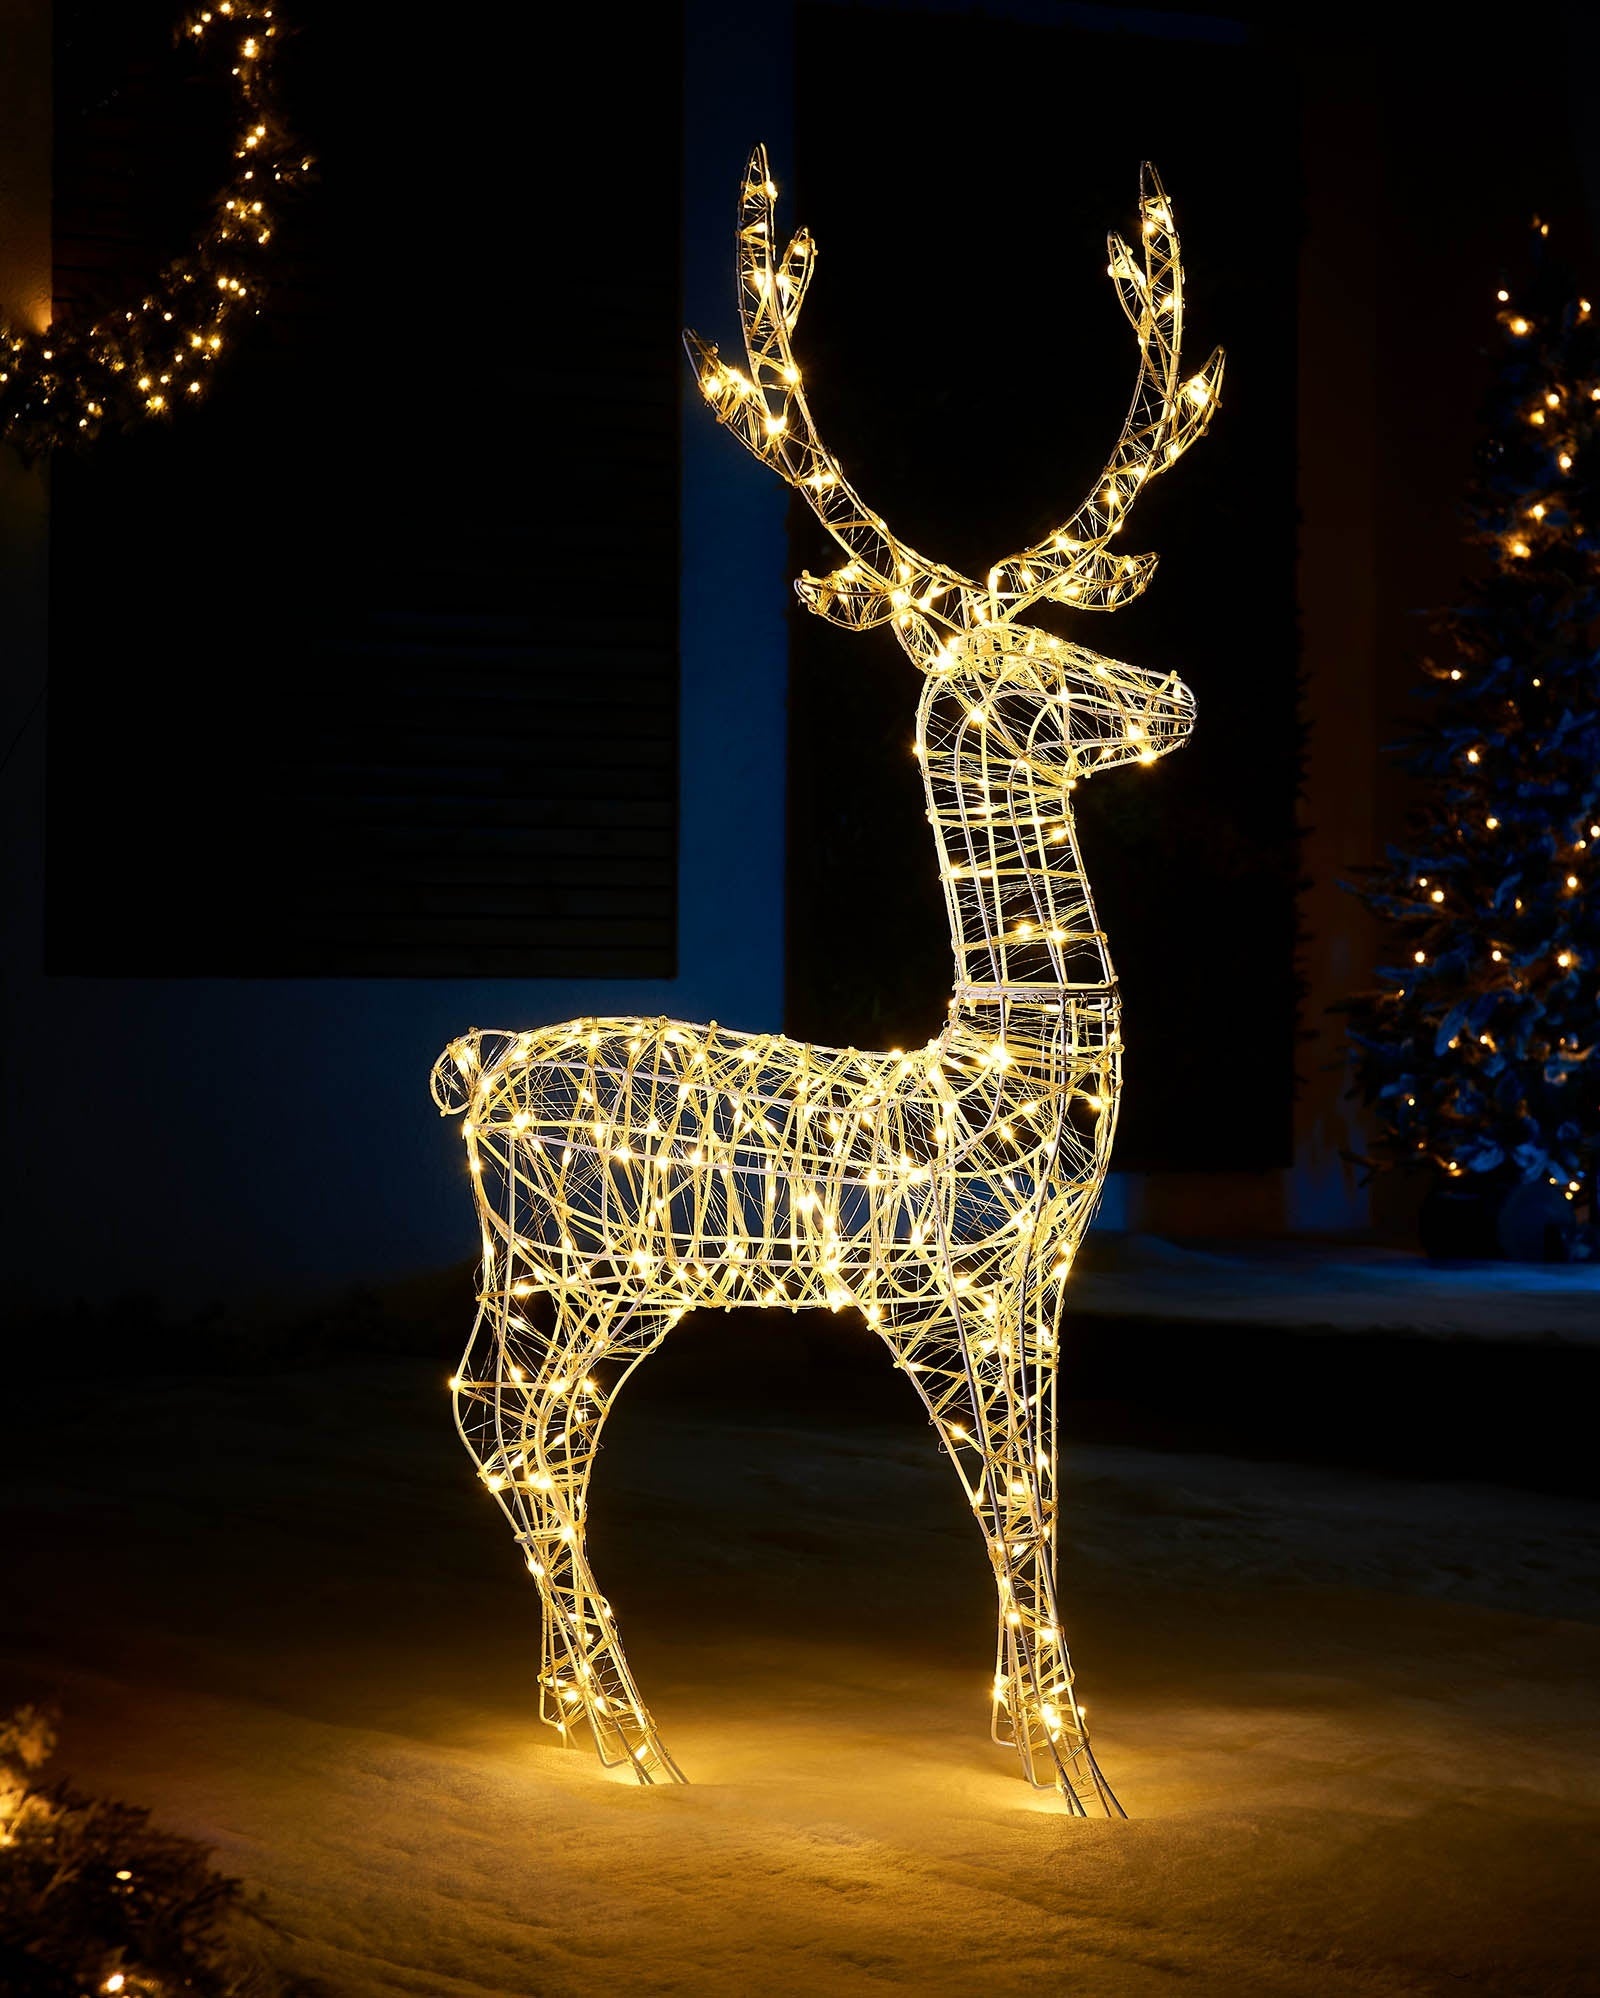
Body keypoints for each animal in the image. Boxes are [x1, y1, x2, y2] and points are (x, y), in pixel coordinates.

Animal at [430, 147, 1221, 1815]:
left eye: (1070, 625)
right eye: (1023, 664)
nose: (1177, 693)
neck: (1004, 1073)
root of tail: (474, 1064)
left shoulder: (1041, 1289)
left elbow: (1043, 1498)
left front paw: (1036, 1740)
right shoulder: (939, 1291)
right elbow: (1006, 1507)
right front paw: (1075, 1772)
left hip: (579, 1273)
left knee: (515, 1422)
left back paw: (574, 1716)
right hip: (585, 1264)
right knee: (515, 1427)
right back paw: (635, 1739)